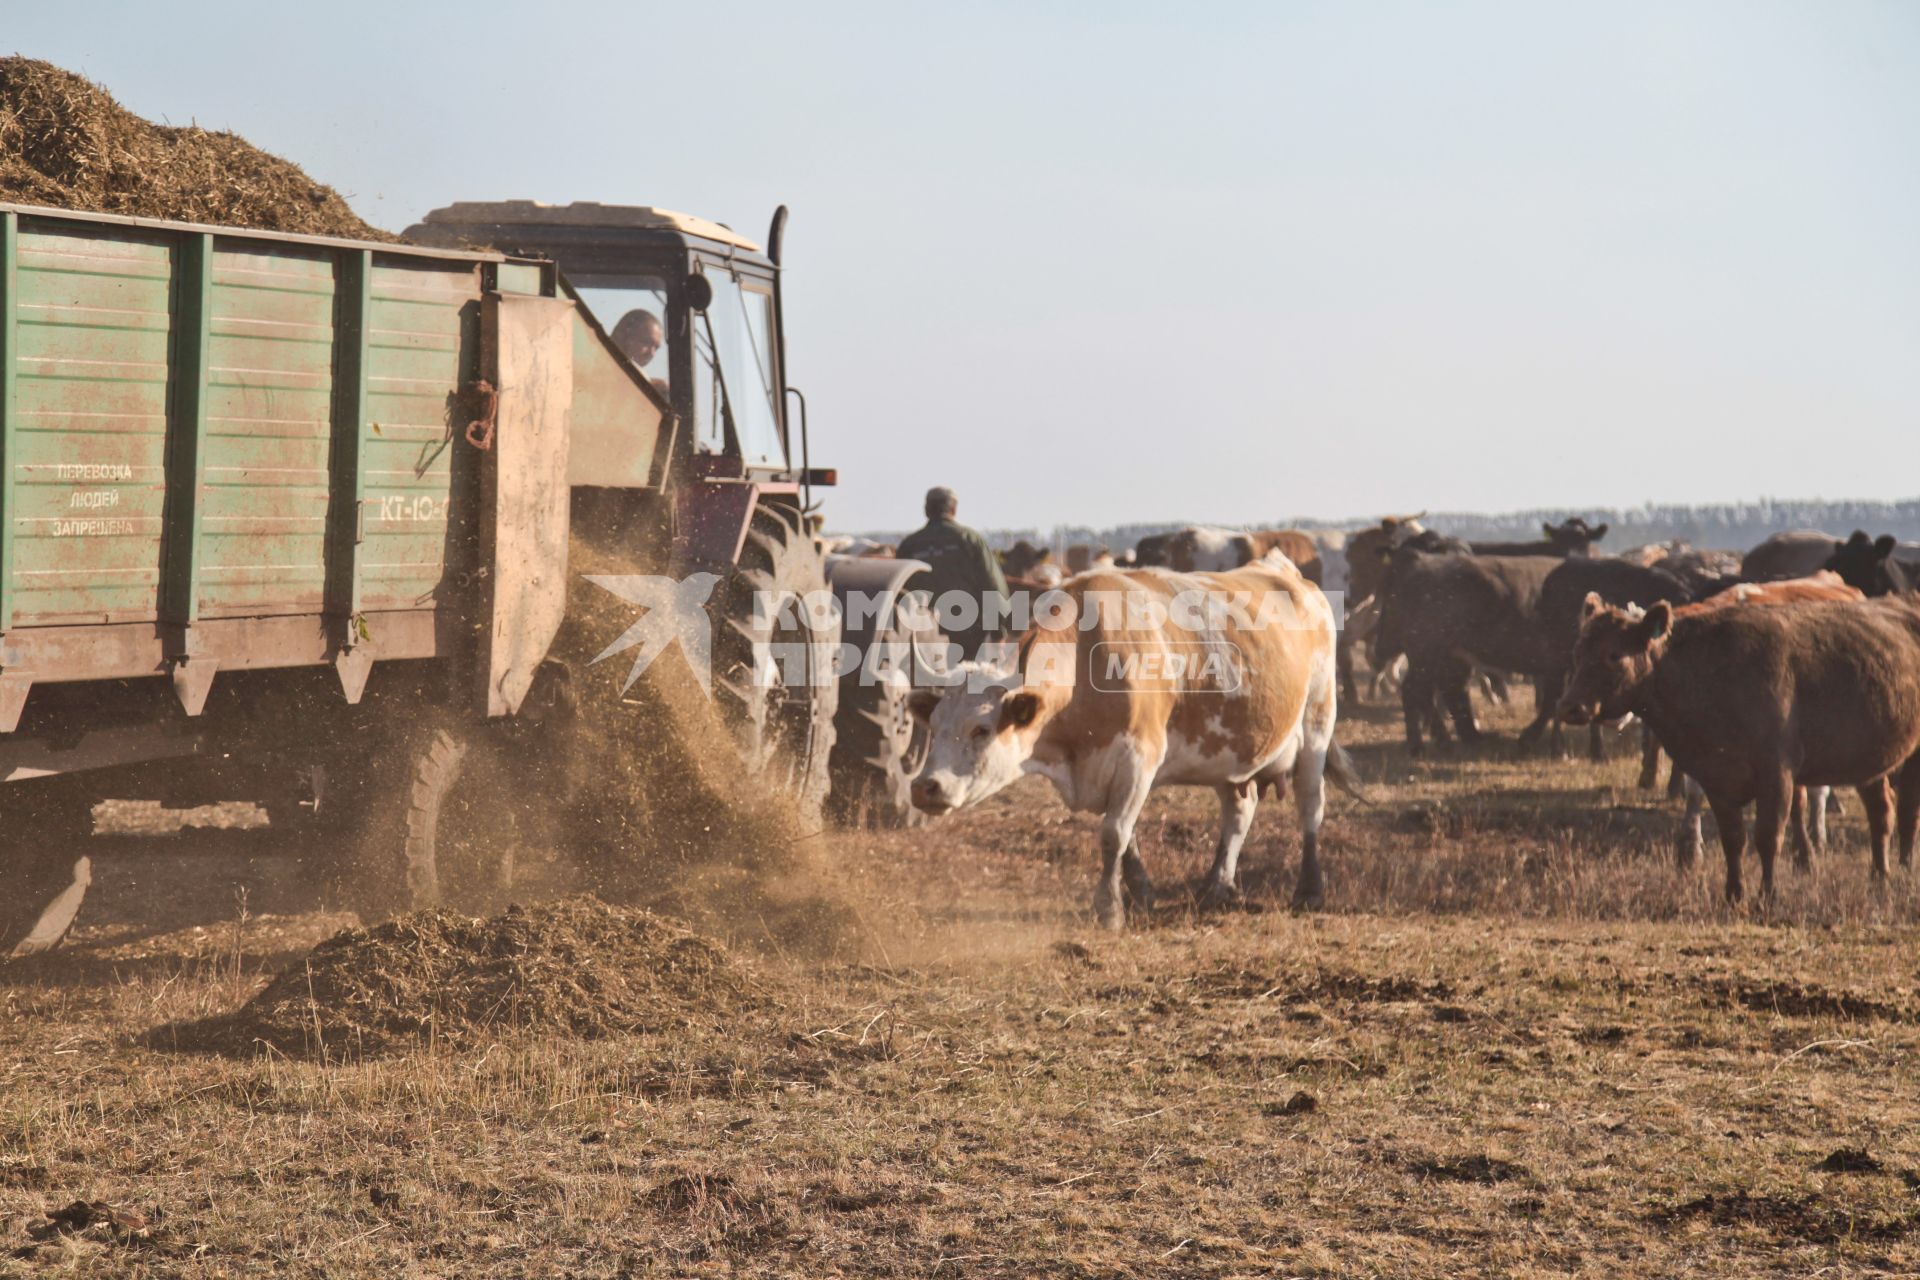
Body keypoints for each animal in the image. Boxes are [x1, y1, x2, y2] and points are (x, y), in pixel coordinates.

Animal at [906, 556, 1359, 924]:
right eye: (936, 725)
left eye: (981, 729)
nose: (924, 787)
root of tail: (1288, 572)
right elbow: (1128, 837)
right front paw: (1141, 893)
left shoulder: (1139, 757)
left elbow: (1114, 834)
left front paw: (1109, 909)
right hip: (1231, 753)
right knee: (1238, 811)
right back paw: (1218, 885)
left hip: (1317, 724)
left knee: (1311, 806)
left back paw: (1309, 891)